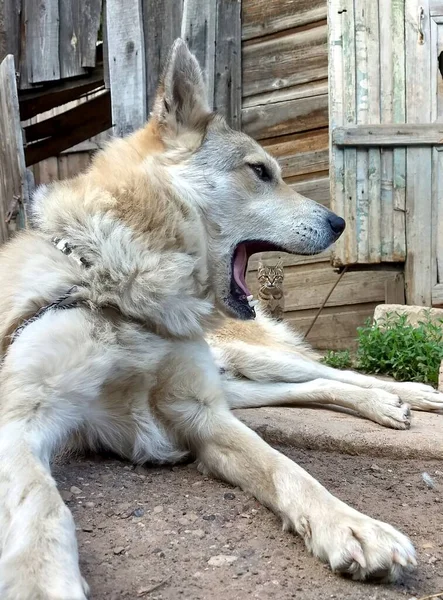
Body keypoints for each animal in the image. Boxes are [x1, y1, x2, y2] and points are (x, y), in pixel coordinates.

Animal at [0, 39, 442, 596]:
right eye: (260, 172)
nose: (341, 222)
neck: (117, 281)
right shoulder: (22, 417)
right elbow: (41, 504)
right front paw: (43, 578)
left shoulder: (201, 412)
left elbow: (286, 467)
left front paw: (352, 525)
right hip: (235, 382)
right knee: (303, 387)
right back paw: (385, 403)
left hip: (244, 364)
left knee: (329, 373)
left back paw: (404, 396)